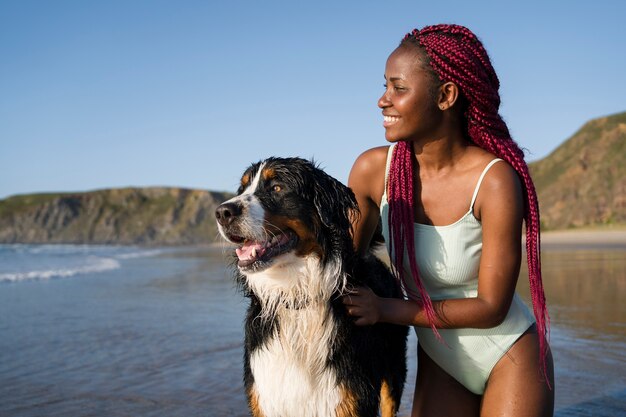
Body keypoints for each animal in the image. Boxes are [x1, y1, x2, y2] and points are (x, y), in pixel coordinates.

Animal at [217, 157, 408, 416]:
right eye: (242, 189)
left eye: (277, 187)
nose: (221, 212)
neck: (296, 296)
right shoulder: (266, 396)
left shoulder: (349, 397)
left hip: (393, 370)